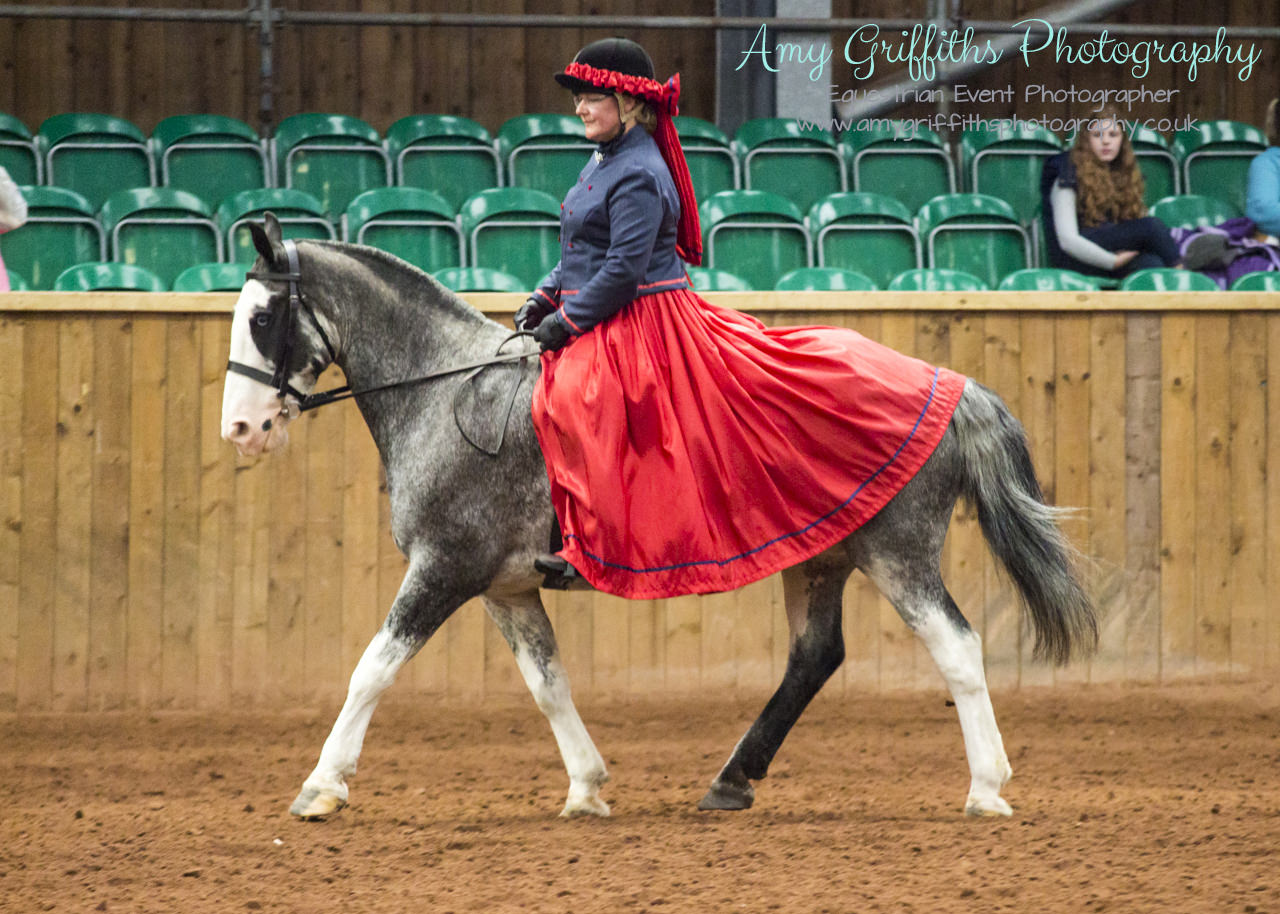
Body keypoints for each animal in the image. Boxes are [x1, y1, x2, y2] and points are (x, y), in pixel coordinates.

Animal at [222, 215, 1100, 819]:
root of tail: (950, 384)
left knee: (957, 648)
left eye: (264, 318)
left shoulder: (445, 567)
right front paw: (587, 787)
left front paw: (321, 786)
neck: (448, 391)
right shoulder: (505, 587)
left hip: (899, 554)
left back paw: (986, 788)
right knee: (815, 656)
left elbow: (373, 666)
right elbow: (548, 684)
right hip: (822, 557)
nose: (241, 429)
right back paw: (732, 779)